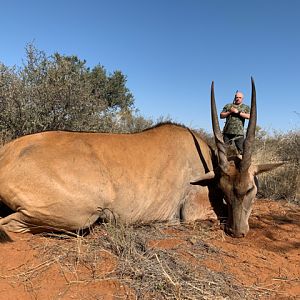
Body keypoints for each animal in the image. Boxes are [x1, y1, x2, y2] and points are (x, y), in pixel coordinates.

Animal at [0, 78, 282, 241]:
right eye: (225, 190)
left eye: (250, 189)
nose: (238, 232)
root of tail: (6, 154)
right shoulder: (191, 212)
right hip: (81, 215)